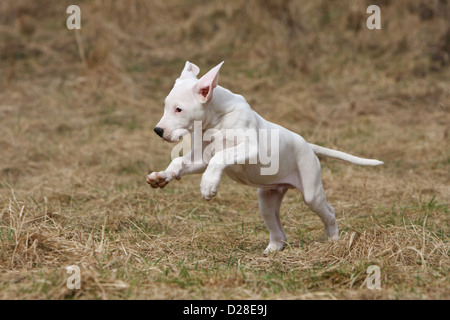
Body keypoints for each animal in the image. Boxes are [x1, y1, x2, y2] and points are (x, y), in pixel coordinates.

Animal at [148, 62, 384, 252]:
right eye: (166, 106)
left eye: (179, 109)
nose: (157, 131)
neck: (216, 118)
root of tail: (308, 145)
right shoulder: (201, 158)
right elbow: (180, 160)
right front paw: (162, 176)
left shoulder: (252, 148)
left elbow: (221, 156)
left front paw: (208, 185)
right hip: (267, 200)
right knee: (277, 228)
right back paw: (273, 247)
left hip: (312, 193)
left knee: (330, 212)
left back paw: (334, 239)